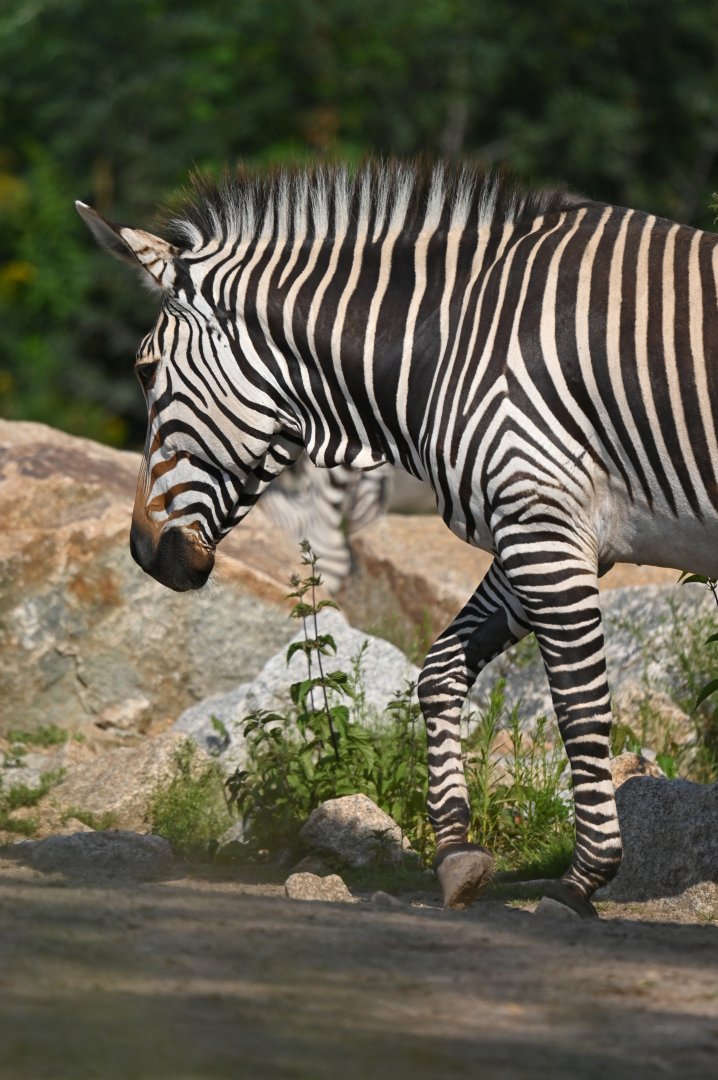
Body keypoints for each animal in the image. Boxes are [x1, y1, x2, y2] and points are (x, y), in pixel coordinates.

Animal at [77, 160, 718, 917]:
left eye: (145, 370)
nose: (146, 555)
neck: (454, 342)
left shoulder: (540, 523)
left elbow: (579, 709)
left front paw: (582, 880)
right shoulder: (546, 527)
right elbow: (439, 670)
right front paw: (456, 852)